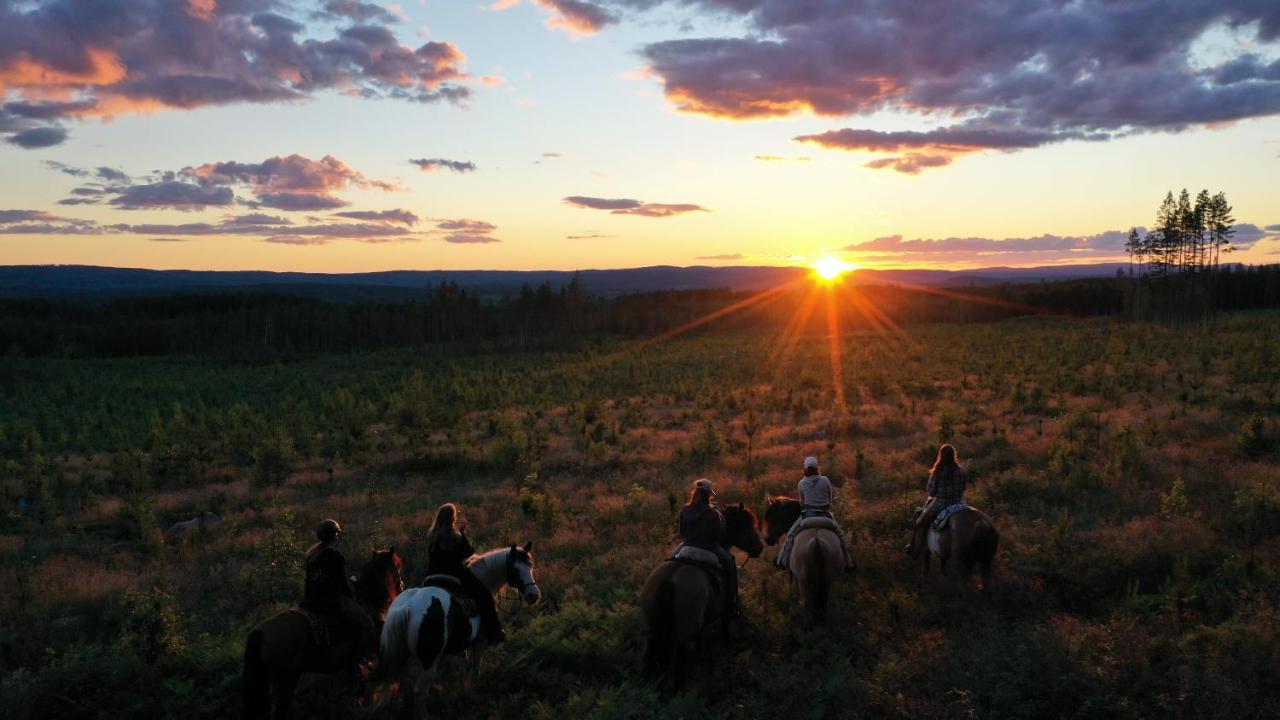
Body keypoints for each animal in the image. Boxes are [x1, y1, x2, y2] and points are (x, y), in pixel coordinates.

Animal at [239, 543, 399, 717]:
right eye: (397, 567)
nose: (401, 587)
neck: (368, 604)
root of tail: (259, 634)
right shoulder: (361, 656)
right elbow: (361, 683)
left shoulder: (351, 663)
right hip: (286, 682)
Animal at [376, 543, 542, 712]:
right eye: (515, 569)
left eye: (530, 565)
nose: (533, 595)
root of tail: (407, 608)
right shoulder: (480, 642)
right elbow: (475, 669)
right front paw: (473, 692)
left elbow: (465, 665)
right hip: (429, 660)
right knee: (420, 692)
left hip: (401, 656)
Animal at [637, 502, 757, 686]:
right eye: (746, 525)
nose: (759, 547)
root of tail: (669, 582)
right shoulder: (724, 612)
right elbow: (724, 629)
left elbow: (701, 635)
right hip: (682, 639)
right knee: (679, 668)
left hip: (652, 633)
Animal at [757, 497, 849, 625]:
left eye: (774, 518)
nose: (768, 540)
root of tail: (817, 540)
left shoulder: (793, 572)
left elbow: (792, 584)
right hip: (828, 579)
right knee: (823, 599)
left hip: (804, 581)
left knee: (806, 602)